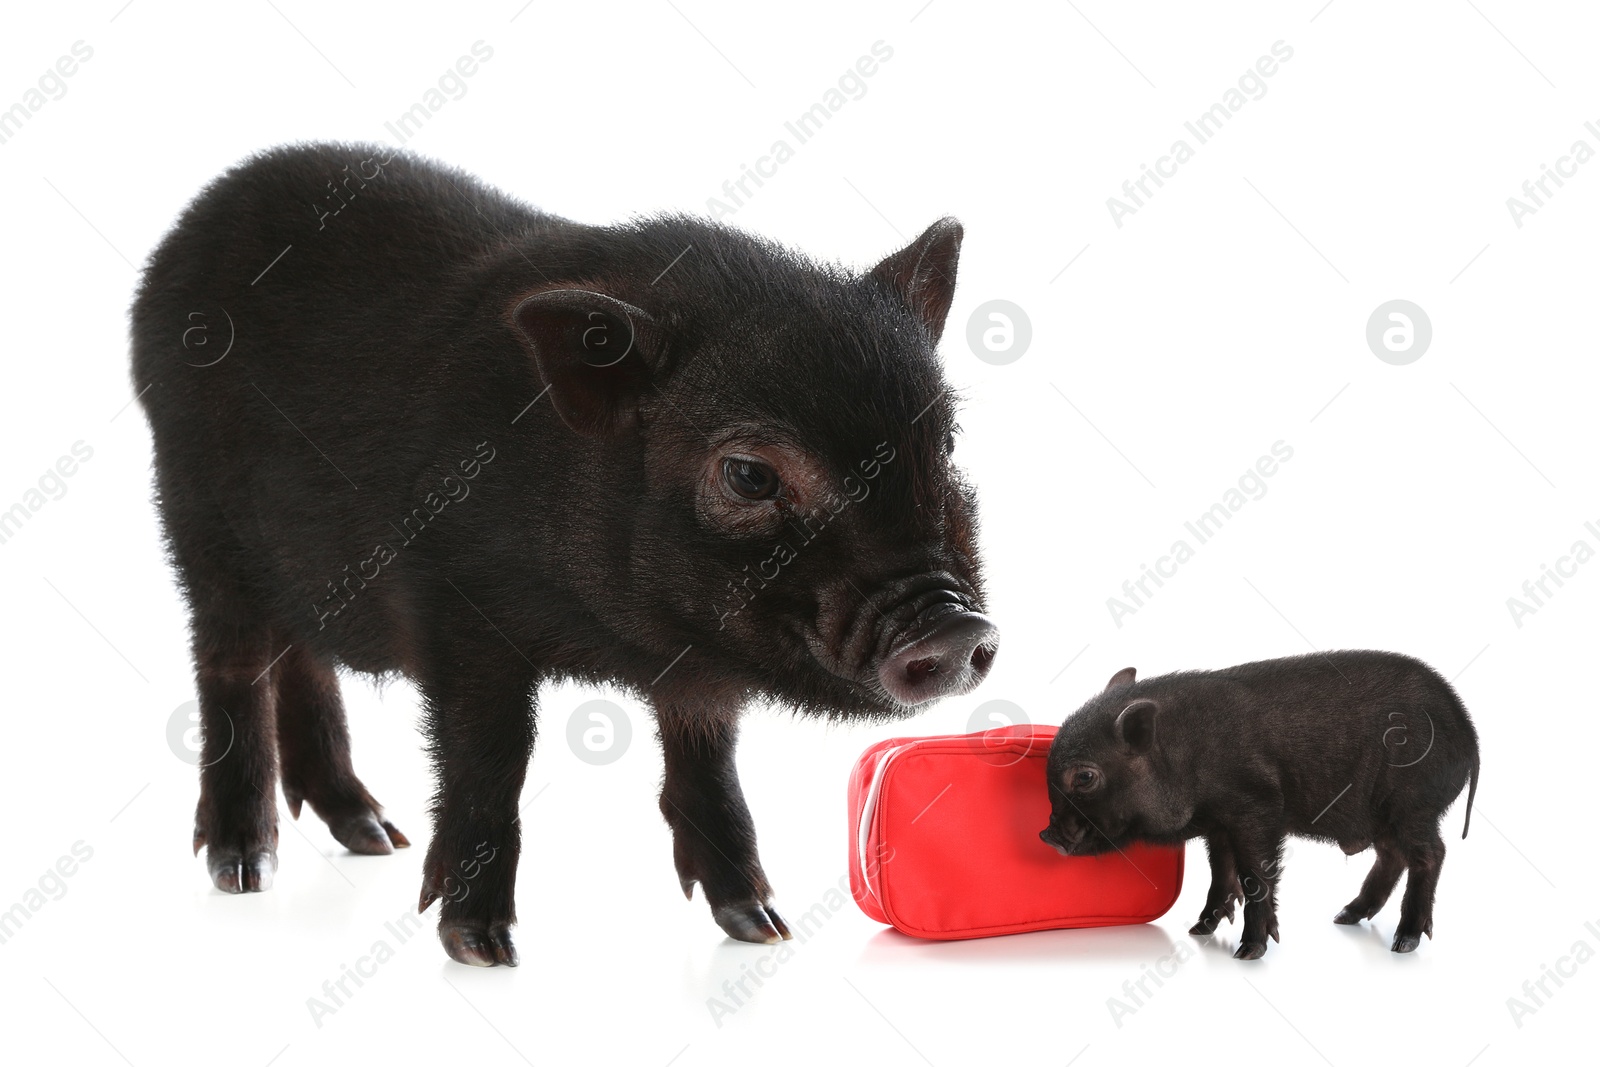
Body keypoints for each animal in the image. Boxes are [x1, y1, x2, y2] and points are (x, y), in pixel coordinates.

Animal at [128, 141, 998, 966]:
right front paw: (481, 947)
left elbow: (708, 763)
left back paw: (373, 833)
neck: (614, 636)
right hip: (199, 523)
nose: (955, 628)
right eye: (750, 474)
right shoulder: (460, 613)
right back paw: (246, 868)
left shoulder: (694, 668)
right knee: (232, 666)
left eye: (946, 443)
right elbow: (491, 760)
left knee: (303, 656)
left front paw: (762, 927)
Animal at [1043, 652, 1478, 959]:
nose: (1046, 836)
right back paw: (1344, 917)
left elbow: (1255, 873)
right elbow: (1221, 872)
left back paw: (1403, 942)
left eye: (1085, 777)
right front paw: (1199, 930)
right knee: (1392, 856)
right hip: (1387, 817)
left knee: (1430, 854)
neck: (1182, 753)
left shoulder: (1258, 809)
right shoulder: (1219, 824)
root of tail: (1470, 734)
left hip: (1413, 805)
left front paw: (1248, 952)